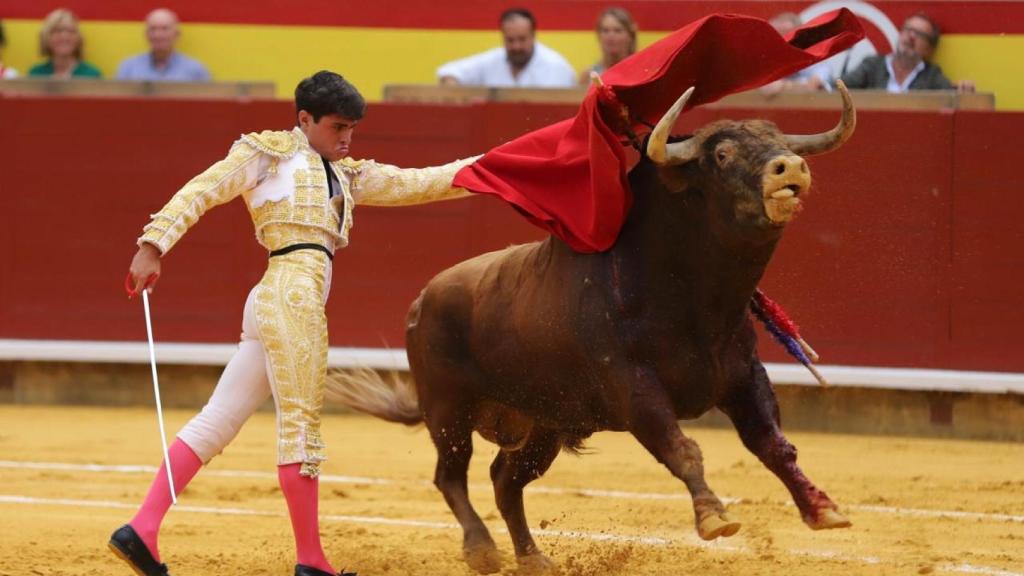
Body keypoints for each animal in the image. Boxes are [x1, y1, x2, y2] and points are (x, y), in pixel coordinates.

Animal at [333, 83, 856, 569]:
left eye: (778, 141)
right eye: (722, 154)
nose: (789, 167)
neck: (696, 303)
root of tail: (423, 297)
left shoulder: (745, 378)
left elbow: (774, 446)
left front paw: (823, 508)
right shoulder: (635, 389)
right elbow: (681, 446)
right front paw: (714, 517)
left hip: (544, 423)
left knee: (505, 480)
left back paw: (532, 558)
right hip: (449, 409)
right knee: (451, 475)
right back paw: (482, 550)